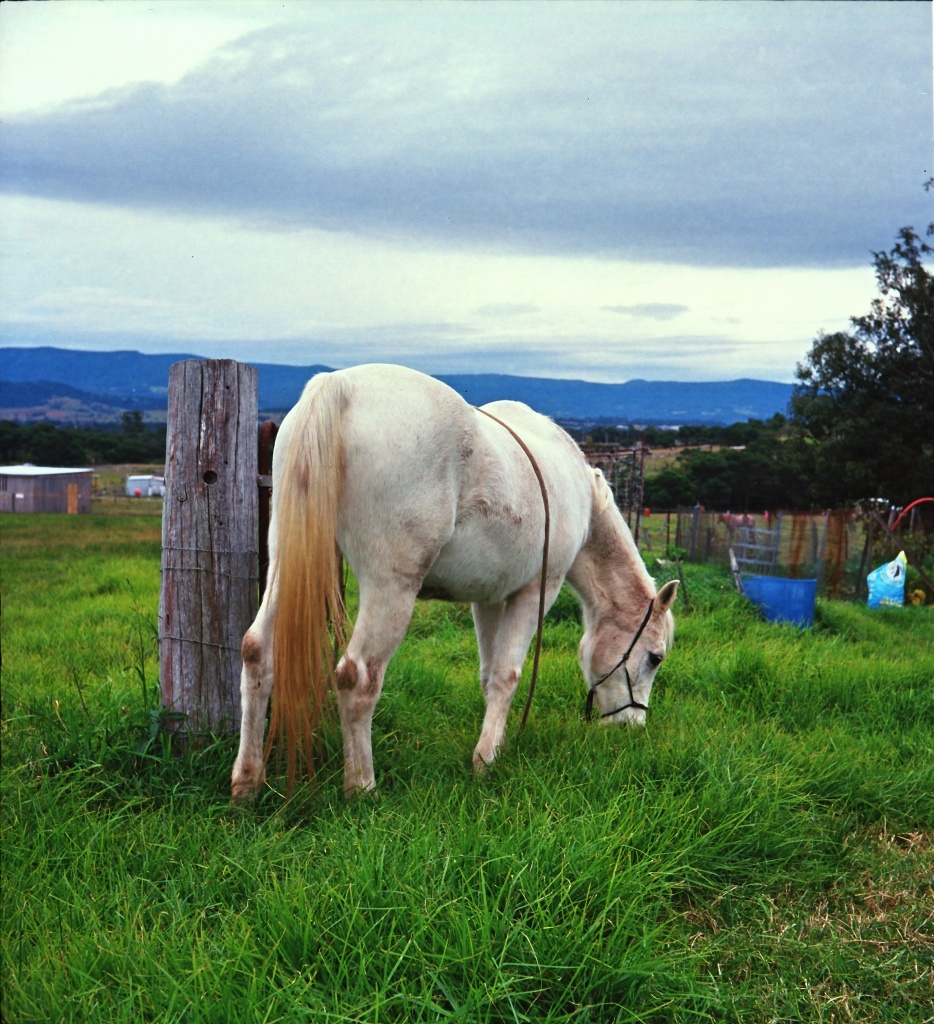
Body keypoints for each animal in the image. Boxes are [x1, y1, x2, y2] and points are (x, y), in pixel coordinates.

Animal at [229, 366, 675, 798]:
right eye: (655, 657)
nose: (632, 725)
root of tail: (340, 386)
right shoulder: (537, 591)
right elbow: (508, 675)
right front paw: (486, 762)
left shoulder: (489, 599)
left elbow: (490, 675)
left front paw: (492, 747)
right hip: (390, 588)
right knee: (358, 678)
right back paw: (362, 788)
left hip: (286, 560)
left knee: (257, 652)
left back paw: (246, 783)